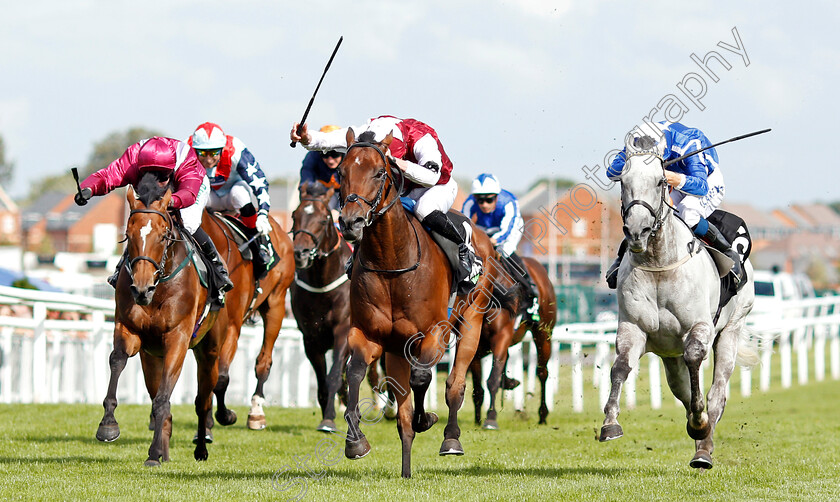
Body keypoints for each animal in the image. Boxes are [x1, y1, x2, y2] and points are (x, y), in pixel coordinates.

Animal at [95, 176, 223, 466]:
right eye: (128, 235)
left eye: (163, 235)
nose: (142, 289)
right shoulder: (129, 329)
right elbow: (117, 360)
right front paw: (108, 425)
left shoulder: (178, 337)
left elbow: (164, 399)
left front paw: (154, 453)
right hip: (151, 357)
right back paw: (164, 449)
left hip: (209, 350)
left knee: (202, 401)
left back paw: (201, 448)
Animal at [201, 210, 296, 430]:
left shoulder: (232, 326)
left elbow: (221, 377)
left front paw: (224, 415)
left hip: (276, 303)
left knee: (264, 361)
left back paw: (256, 413)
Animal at [336, 129, 498, 478]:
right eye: (341, 173)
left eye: (379, 172)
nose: (351, 222)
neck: (391, 260)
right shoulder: (368, 334)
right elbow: (355, 372)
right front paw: (355, 441)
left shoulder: (434, 333)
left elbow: (423, 379)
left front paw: (428, 419)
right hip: (397, 350)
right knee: (402, 412)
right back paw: (406, 468)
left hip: (471, 322)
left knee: (455, 383)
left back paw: (451, 438)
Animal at [470, 256, 556, 430]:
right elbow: (477, 388)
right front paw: (477, 420)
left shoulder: (501, 336)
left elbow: (492, 380)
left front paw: (490, 418)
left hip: (544, 335)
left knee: (542, 373)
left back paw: (542, 415)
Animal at [600, 133, 756, 470]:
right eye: (622, 181)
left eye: (660, 181)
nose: (637, 231)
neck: (660, 264)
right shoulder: (633, 328)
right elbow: (620, 367)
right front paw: (610, 424)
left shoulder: (698, 327)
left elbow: (696, 359)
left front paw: (700, 426)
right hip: (668, 353)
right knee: (682, 389)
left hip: (732, 330)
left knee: (716, 394)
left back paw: (703, 448)